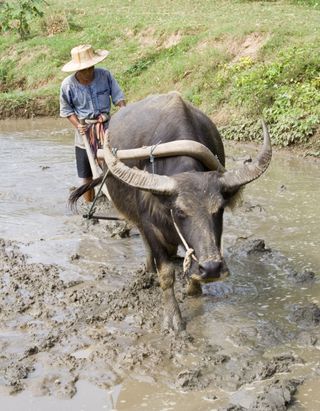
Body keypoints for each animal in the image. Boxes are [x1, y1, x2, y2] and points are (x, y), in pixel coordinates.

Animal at [69, 91, 270, 334]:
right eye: (179, 211)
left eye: (219, 209)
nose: (212, 268)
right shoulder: (152, 226)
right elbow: (166, 273)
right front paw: (173, 319)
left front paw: (193, 288)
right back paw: (148, 268)